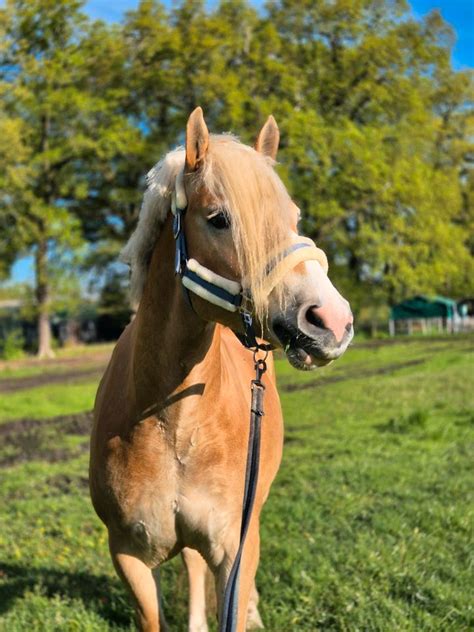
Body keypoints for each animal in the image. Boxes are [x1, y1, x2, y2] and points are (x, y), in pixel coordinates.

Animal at [90, 108, 354, 632]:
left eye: (294, 218)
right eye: (218, 219)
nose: (332, 321)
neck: (169, 421)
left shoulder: (235, 547)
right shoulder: (127, 554)